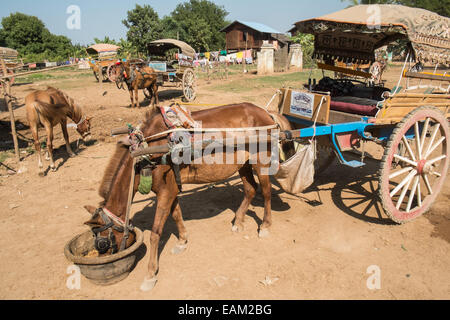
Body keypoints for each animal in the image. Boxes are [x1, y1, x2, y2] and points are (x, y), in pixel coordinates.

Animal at [83, 104, 296, 292]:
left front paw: (150, 275)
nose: (104, 256)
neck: (147, 151)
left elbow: (155, 233)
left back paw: (266, 225)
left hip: (261, 160)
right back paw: (238, 220)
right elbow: (176, 214)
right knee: (250, 189)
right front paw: (182, 241)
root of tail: (266, 112)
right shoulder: (170, 189)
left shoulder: (166, 191)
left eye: (102, 241)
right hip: (242, 163)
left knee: (266, 192)